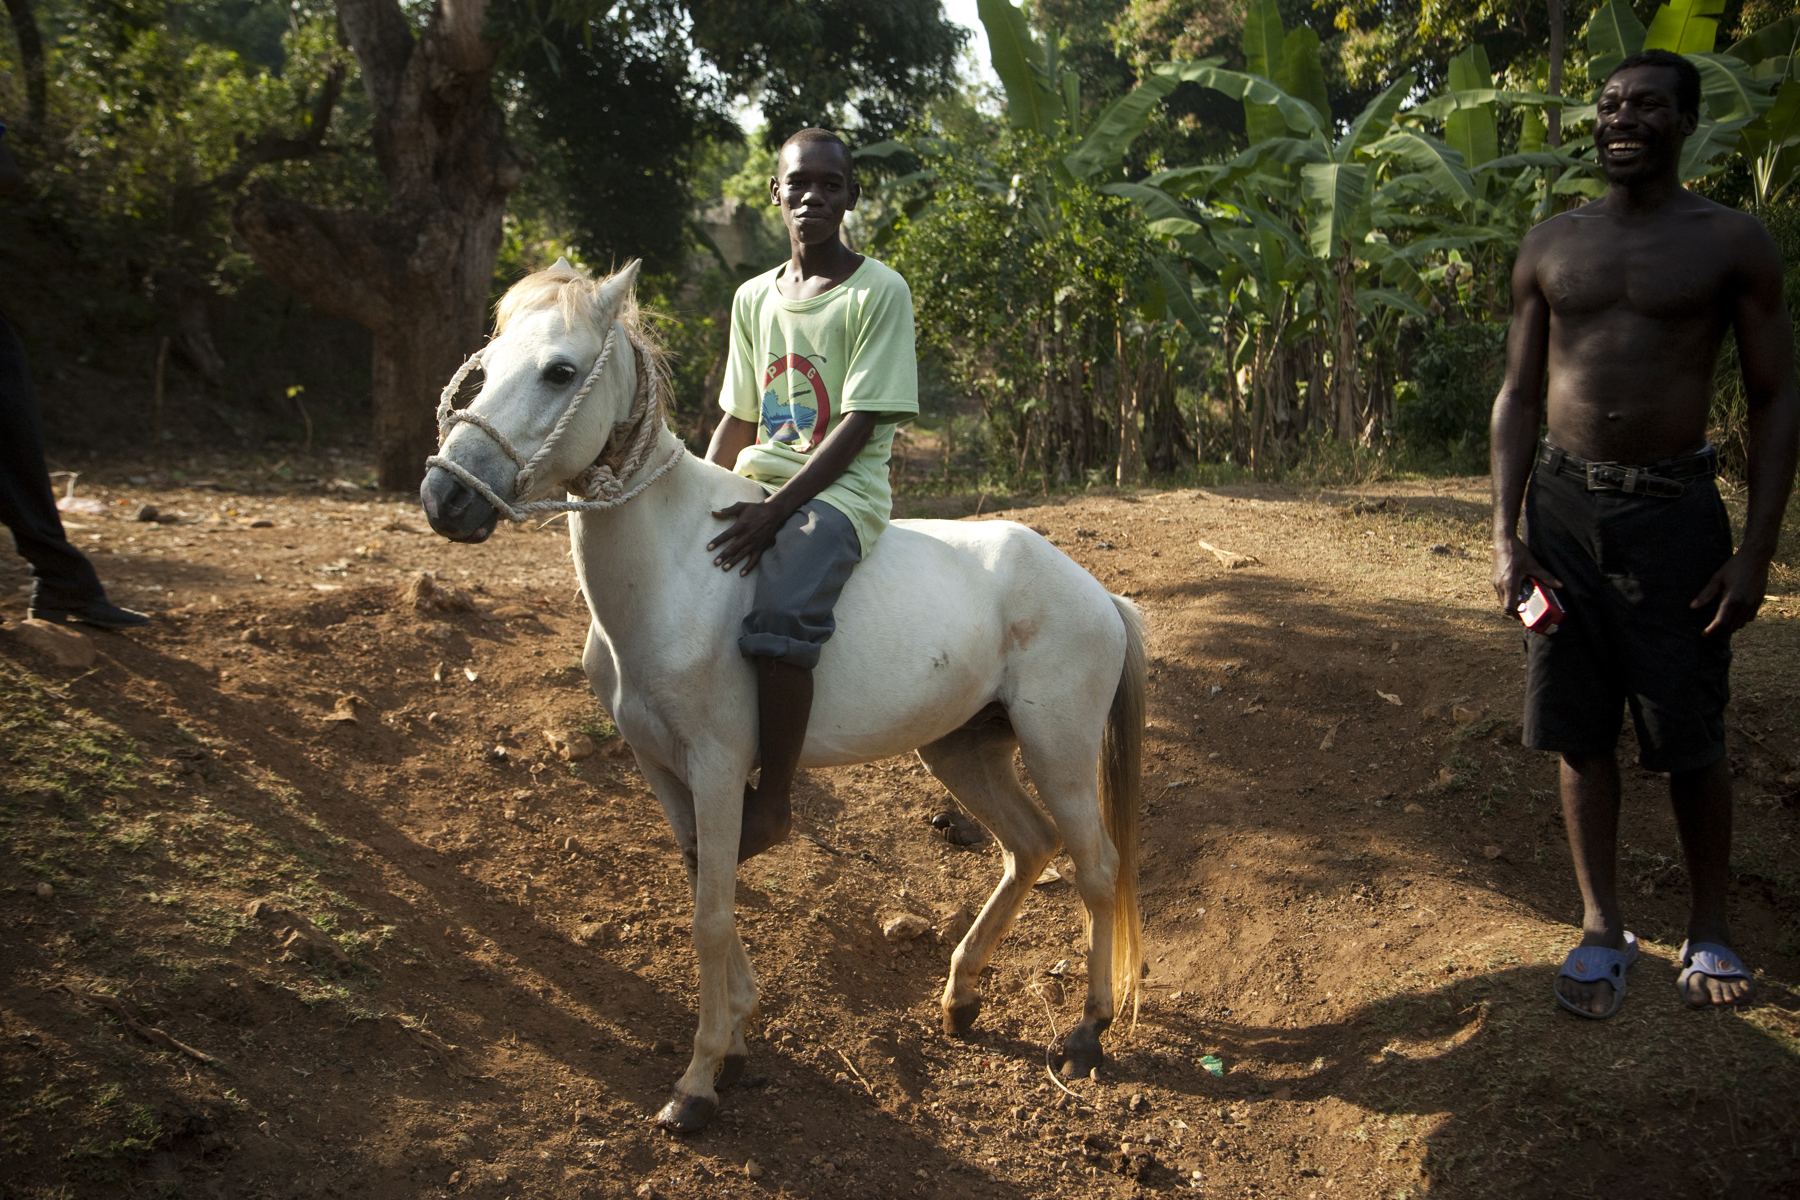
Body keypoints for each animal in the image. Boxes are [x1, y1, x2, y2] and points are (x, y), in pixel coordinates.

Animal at [419, 259, 1146, 1134]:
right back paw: (962, 996)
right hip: (962, 748)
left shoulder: (718, 767)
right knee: (1030, 847)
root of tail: (1101, 596)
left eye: (560, 371)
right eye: (487, 367)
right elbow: (704, 884)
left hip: (1059, 749)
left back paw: (1088, 1029)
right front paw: (735, 1033)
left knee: (1096, 868)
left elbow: (708, 915)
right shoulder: (661, 768)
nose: (445, 497)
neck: (674, 569)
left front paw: (699, 1079)